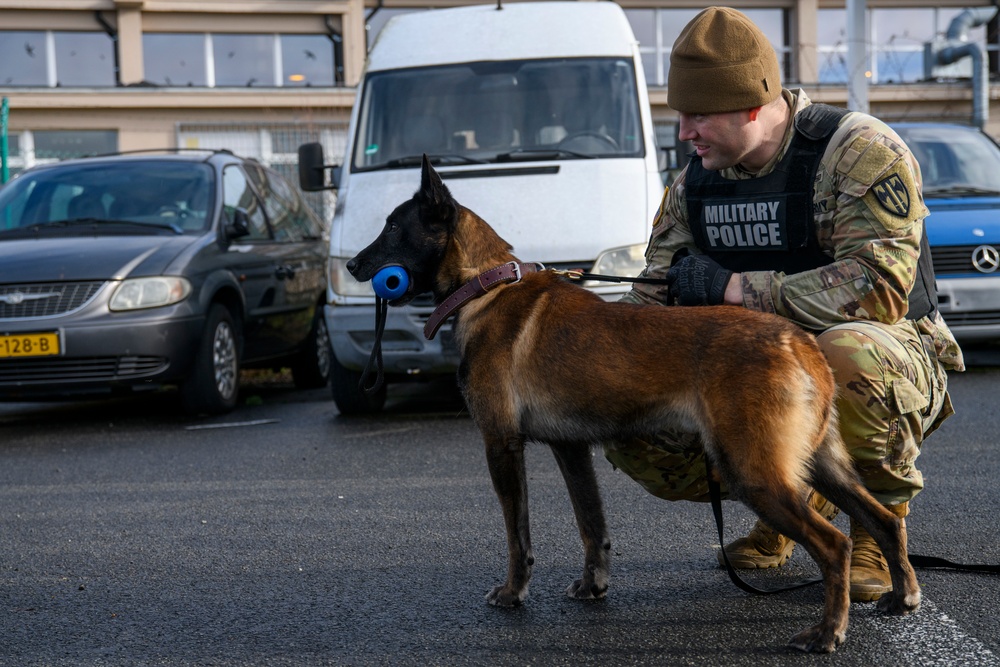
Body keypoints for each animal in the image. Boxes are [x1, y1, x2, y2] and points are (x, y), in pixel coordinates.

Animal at [346, 157, 920, 652]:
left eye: (393, 228)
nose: (352, 264)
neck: (484, 286)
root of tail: (798, 341)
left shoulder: (501, 446)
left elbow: (517, 534)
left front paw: (512, 593)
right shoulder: (570, 450)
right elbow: (592, 525)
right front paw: (593, 586)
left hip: (751, 472)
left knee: (835, 545)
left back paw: (827, 632)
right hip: (821, 464)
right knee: (884, 519)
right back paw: (901, 595)